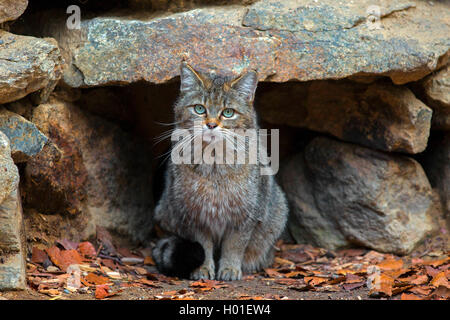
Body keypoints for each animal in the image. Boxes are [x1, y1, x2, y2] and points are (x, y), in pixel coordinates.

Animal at [152, 62, 288, 280]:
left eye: (228, 112)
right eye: (199, 109)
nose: (211, 125)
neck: (214, 165)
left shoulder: (246, 216)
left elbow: (235, 246)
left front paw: (230, 268)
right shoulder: (194, 215)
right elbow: (203, 245)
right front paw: (203, 268)